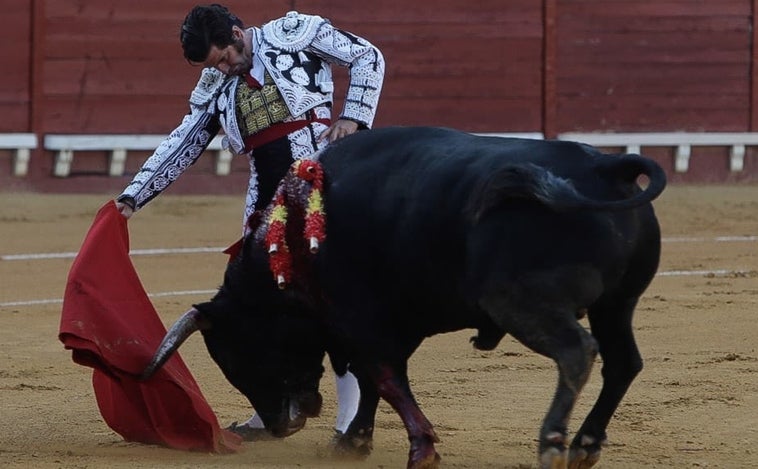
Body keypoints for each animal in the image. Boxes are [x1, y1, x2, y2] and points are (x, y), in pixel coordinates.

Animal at [141, 126, 664, 468]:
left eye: (240, 354)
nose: (277, 425)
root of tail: (605, 164)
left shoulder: (362, 319)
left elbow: (384, 376)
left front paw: (421, 449)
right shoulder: (391, 321)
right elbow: (377, 379)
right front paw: (354, 442)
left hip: (520, 301)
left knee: (577, 352)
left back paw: (553, 443)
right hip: (617, 304)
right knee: (624, 361)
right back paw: (584, 446)